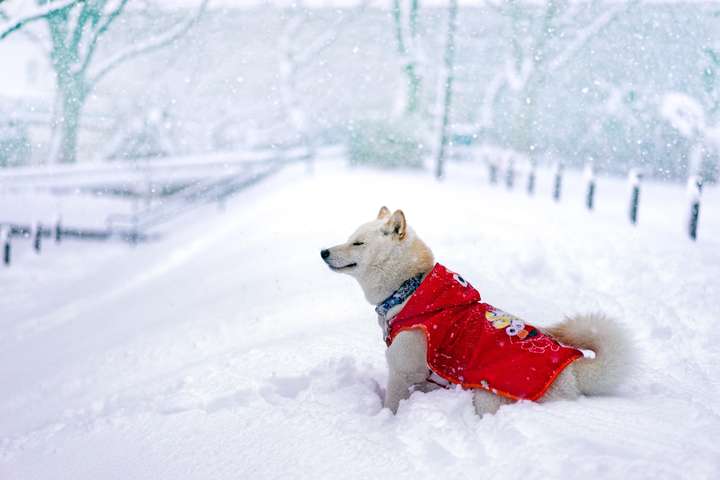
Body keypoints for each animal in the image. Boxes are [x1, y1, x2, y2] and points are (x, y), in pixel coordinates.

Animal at [320, 206, 632, 416]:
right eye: (349, 237)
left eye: (358, 243)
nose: (323, 251)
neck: (408, 290)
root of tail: (573, 376)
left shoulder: (402, 371)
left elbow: (392, 404)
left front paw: (385, 420)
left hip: (486, 396)